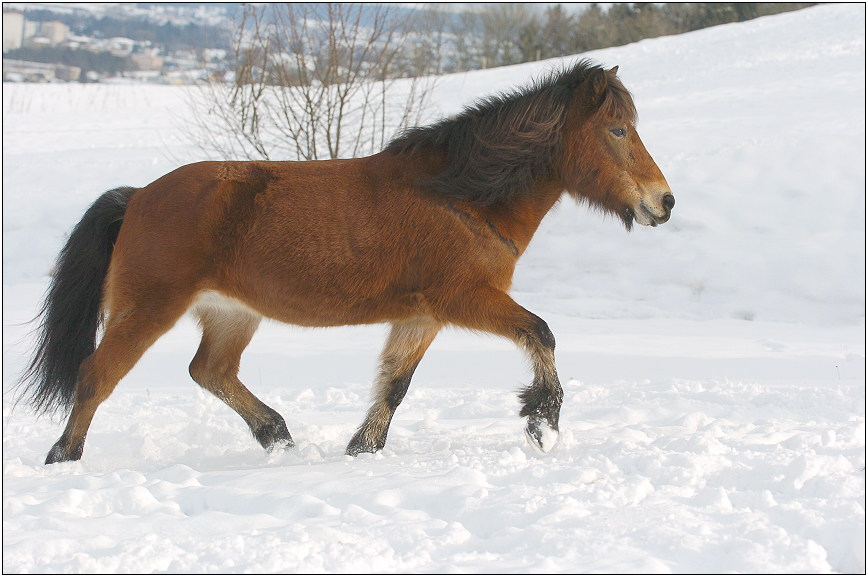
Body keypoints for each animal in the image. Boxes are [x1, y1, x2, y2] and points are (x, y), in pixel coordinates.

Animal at [18, 59, 672, 464]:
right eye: (617, 130)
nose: (662, 202)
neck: (460, 197)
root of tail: (137, 197)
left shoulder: (422, 316)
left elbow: (394, 384)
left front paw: (362, 449)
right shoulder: (465, 299)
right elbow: (541, 332)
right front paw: (542, 422)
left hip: (232, 314)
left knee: (210, 371)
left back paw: (277, 436)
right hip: (148, 308)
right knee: (97, 376)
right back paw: (64, 457)